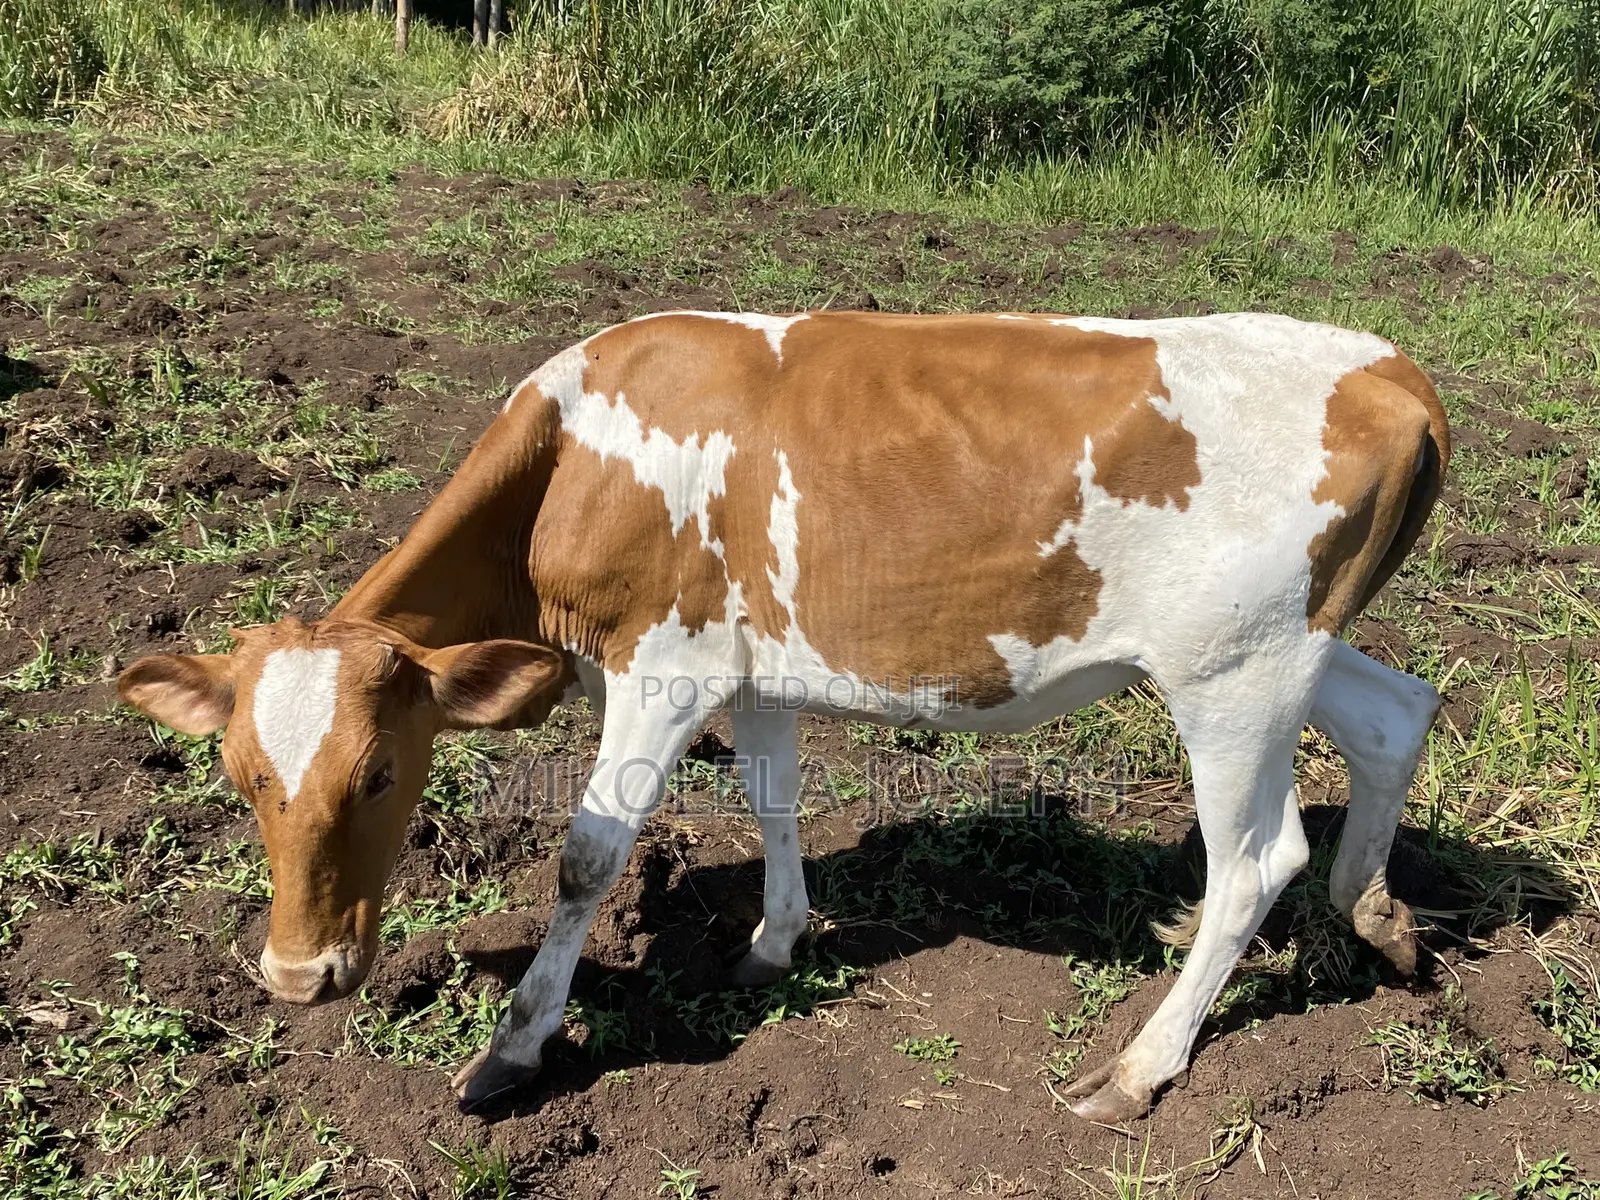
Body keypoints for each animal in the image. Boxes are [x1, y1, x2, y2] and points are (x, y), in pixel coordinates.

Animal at [117, 310, 1449, 1122]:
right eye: (240, 778)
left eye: (382, 775)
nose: (297, 977)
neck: (571, 454)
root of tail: (1391, 370)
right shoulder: (742, 667)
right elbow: (772, 800)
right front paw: (774, 940)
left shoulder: (661, 667)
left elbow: (587, 856)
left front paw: (513, 1046)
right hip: (1288, 652)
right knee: (1395, 715)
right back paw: (1377, 918)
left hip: (1233, 674)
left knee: (1255, 860)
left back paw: (1139, 1065)